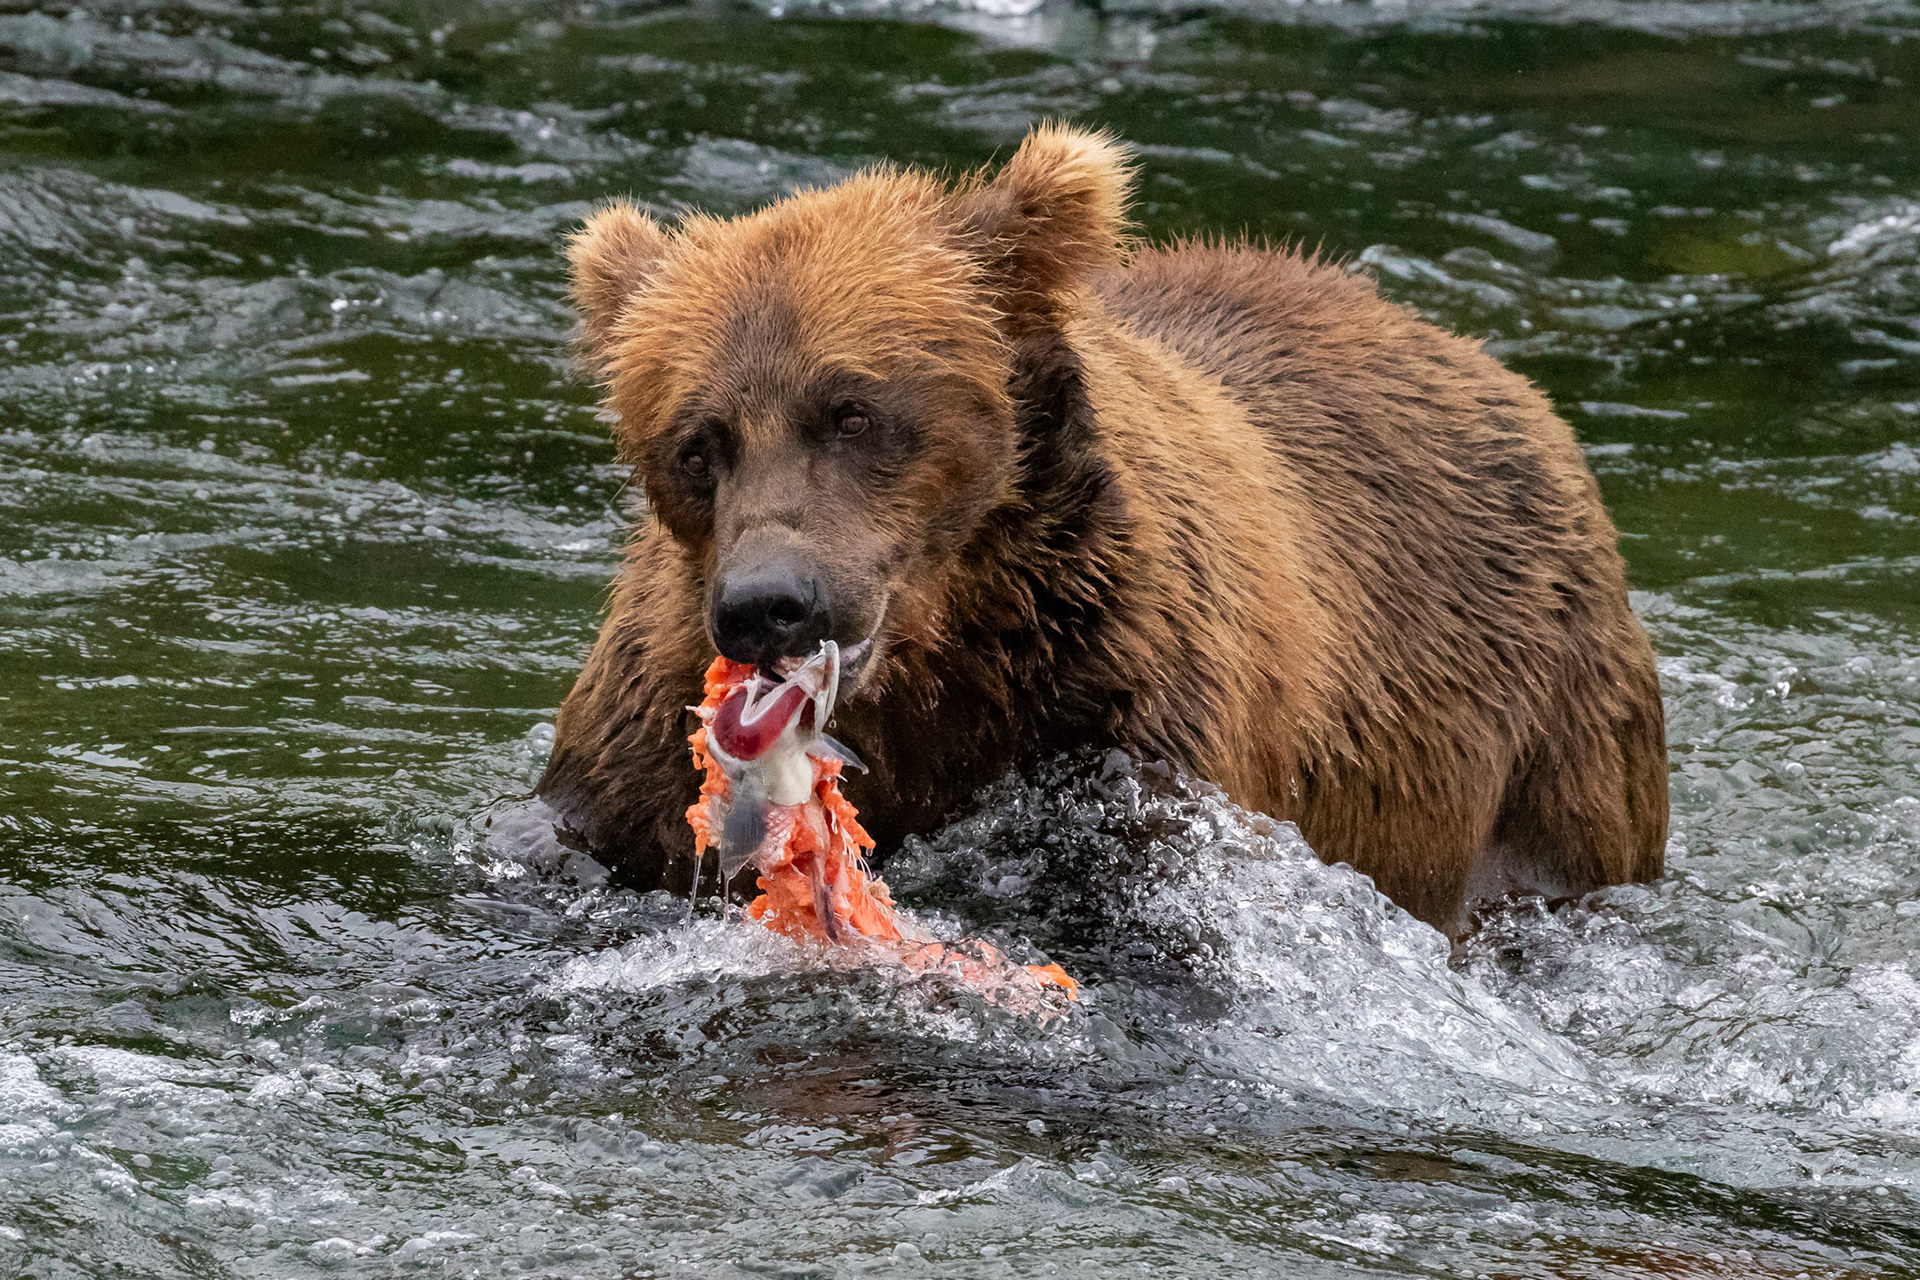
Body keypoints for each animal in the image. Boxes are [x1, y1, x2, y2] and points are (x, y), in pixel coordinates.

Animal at [536, 123, 1668, 938]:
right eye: (697, 442)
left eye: (852, 411)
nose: (769, 603)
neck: (940, 660)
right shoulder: (652, 713)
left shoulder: (1128, 693)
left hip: (1546, 730)